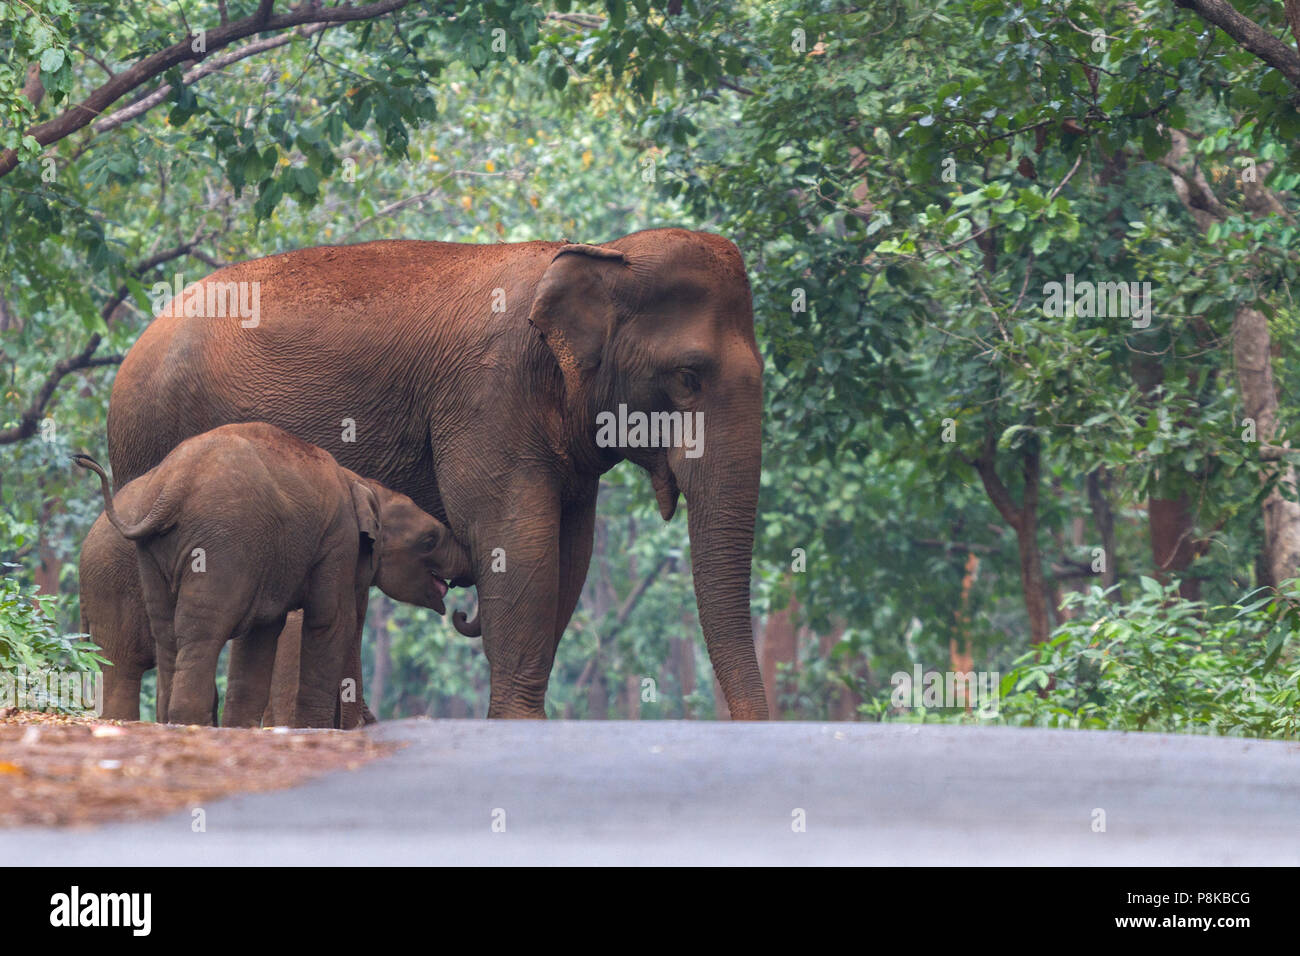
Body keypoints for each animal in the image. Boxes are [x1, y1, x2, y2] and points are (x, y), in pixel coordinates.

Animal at [74, 421, 471, 727]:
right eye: (430, 539)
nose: (461, 603)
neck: (362, 482)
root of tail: (172, 488)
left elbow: (263, 632)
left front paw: (241, 728)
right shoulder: (337, 540)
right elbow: (329, 620)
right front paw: (313, 728)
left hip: (155, 554)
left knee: (168, 633)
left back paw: (174, 721)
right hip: (218, 544)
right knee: (192, 635)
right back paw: (188, 722)